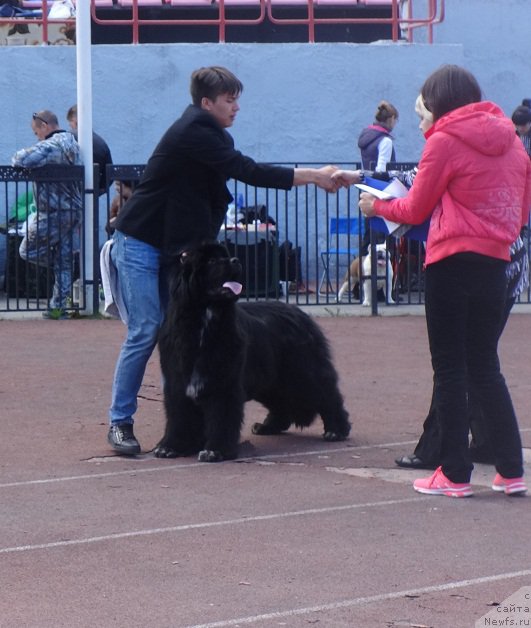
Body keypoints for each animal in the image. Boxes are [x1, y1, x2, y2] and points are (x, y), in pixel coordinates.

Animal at [154, 240, 352, 462]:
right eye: (211, 261)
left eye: (225, 255)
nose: (235, 260)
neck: (204, 320)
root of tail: (299, 313)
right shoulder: (178, 382)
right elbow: (178, 416)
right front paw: (171, 446)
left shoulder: (224, 383)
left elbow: (221, 417)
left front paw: (216, 450)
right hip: (272, 380)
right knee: (282, 402)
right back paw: (267, 426)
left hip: (303, 372)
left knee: (328, 394)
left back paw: (336, 430)